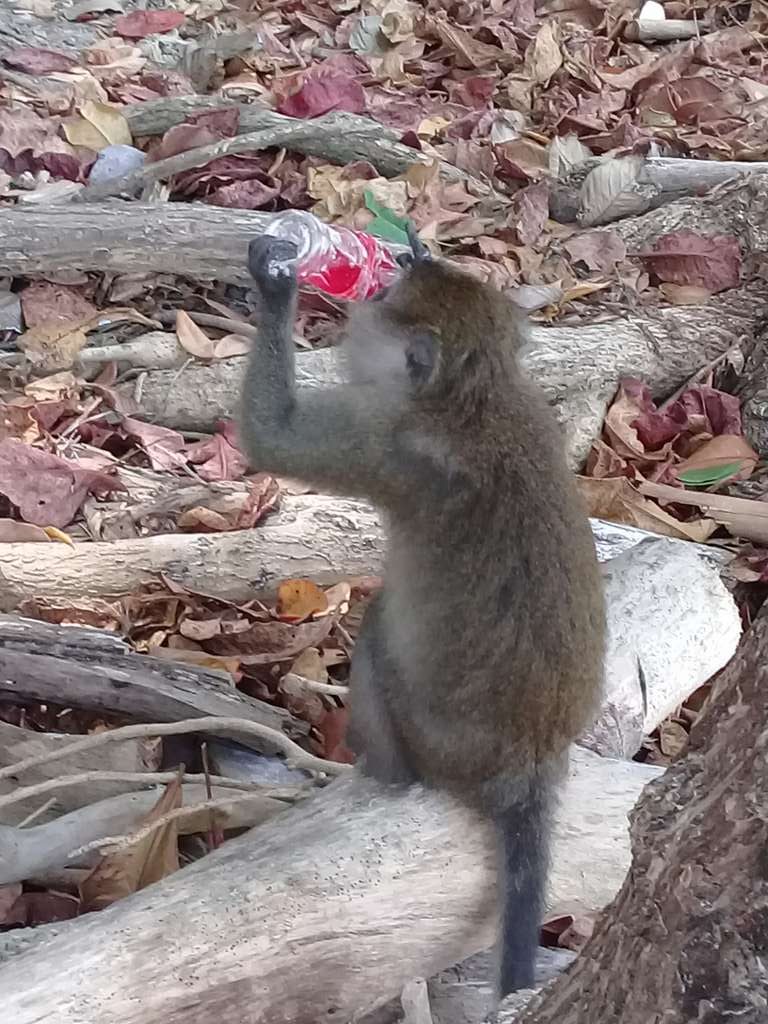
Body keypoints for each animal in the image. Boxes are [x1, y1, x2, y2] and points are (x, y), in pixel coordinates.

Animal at [239, 228, 605, 999]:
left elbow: (272, 437)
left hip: (436, 744)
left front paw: (279, 283)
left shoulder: (381, 437)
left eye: (384, 299)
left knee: (379, 632)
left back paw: (382, 769)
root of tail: (529, 763)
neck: (478, 394)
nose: (405, 256)